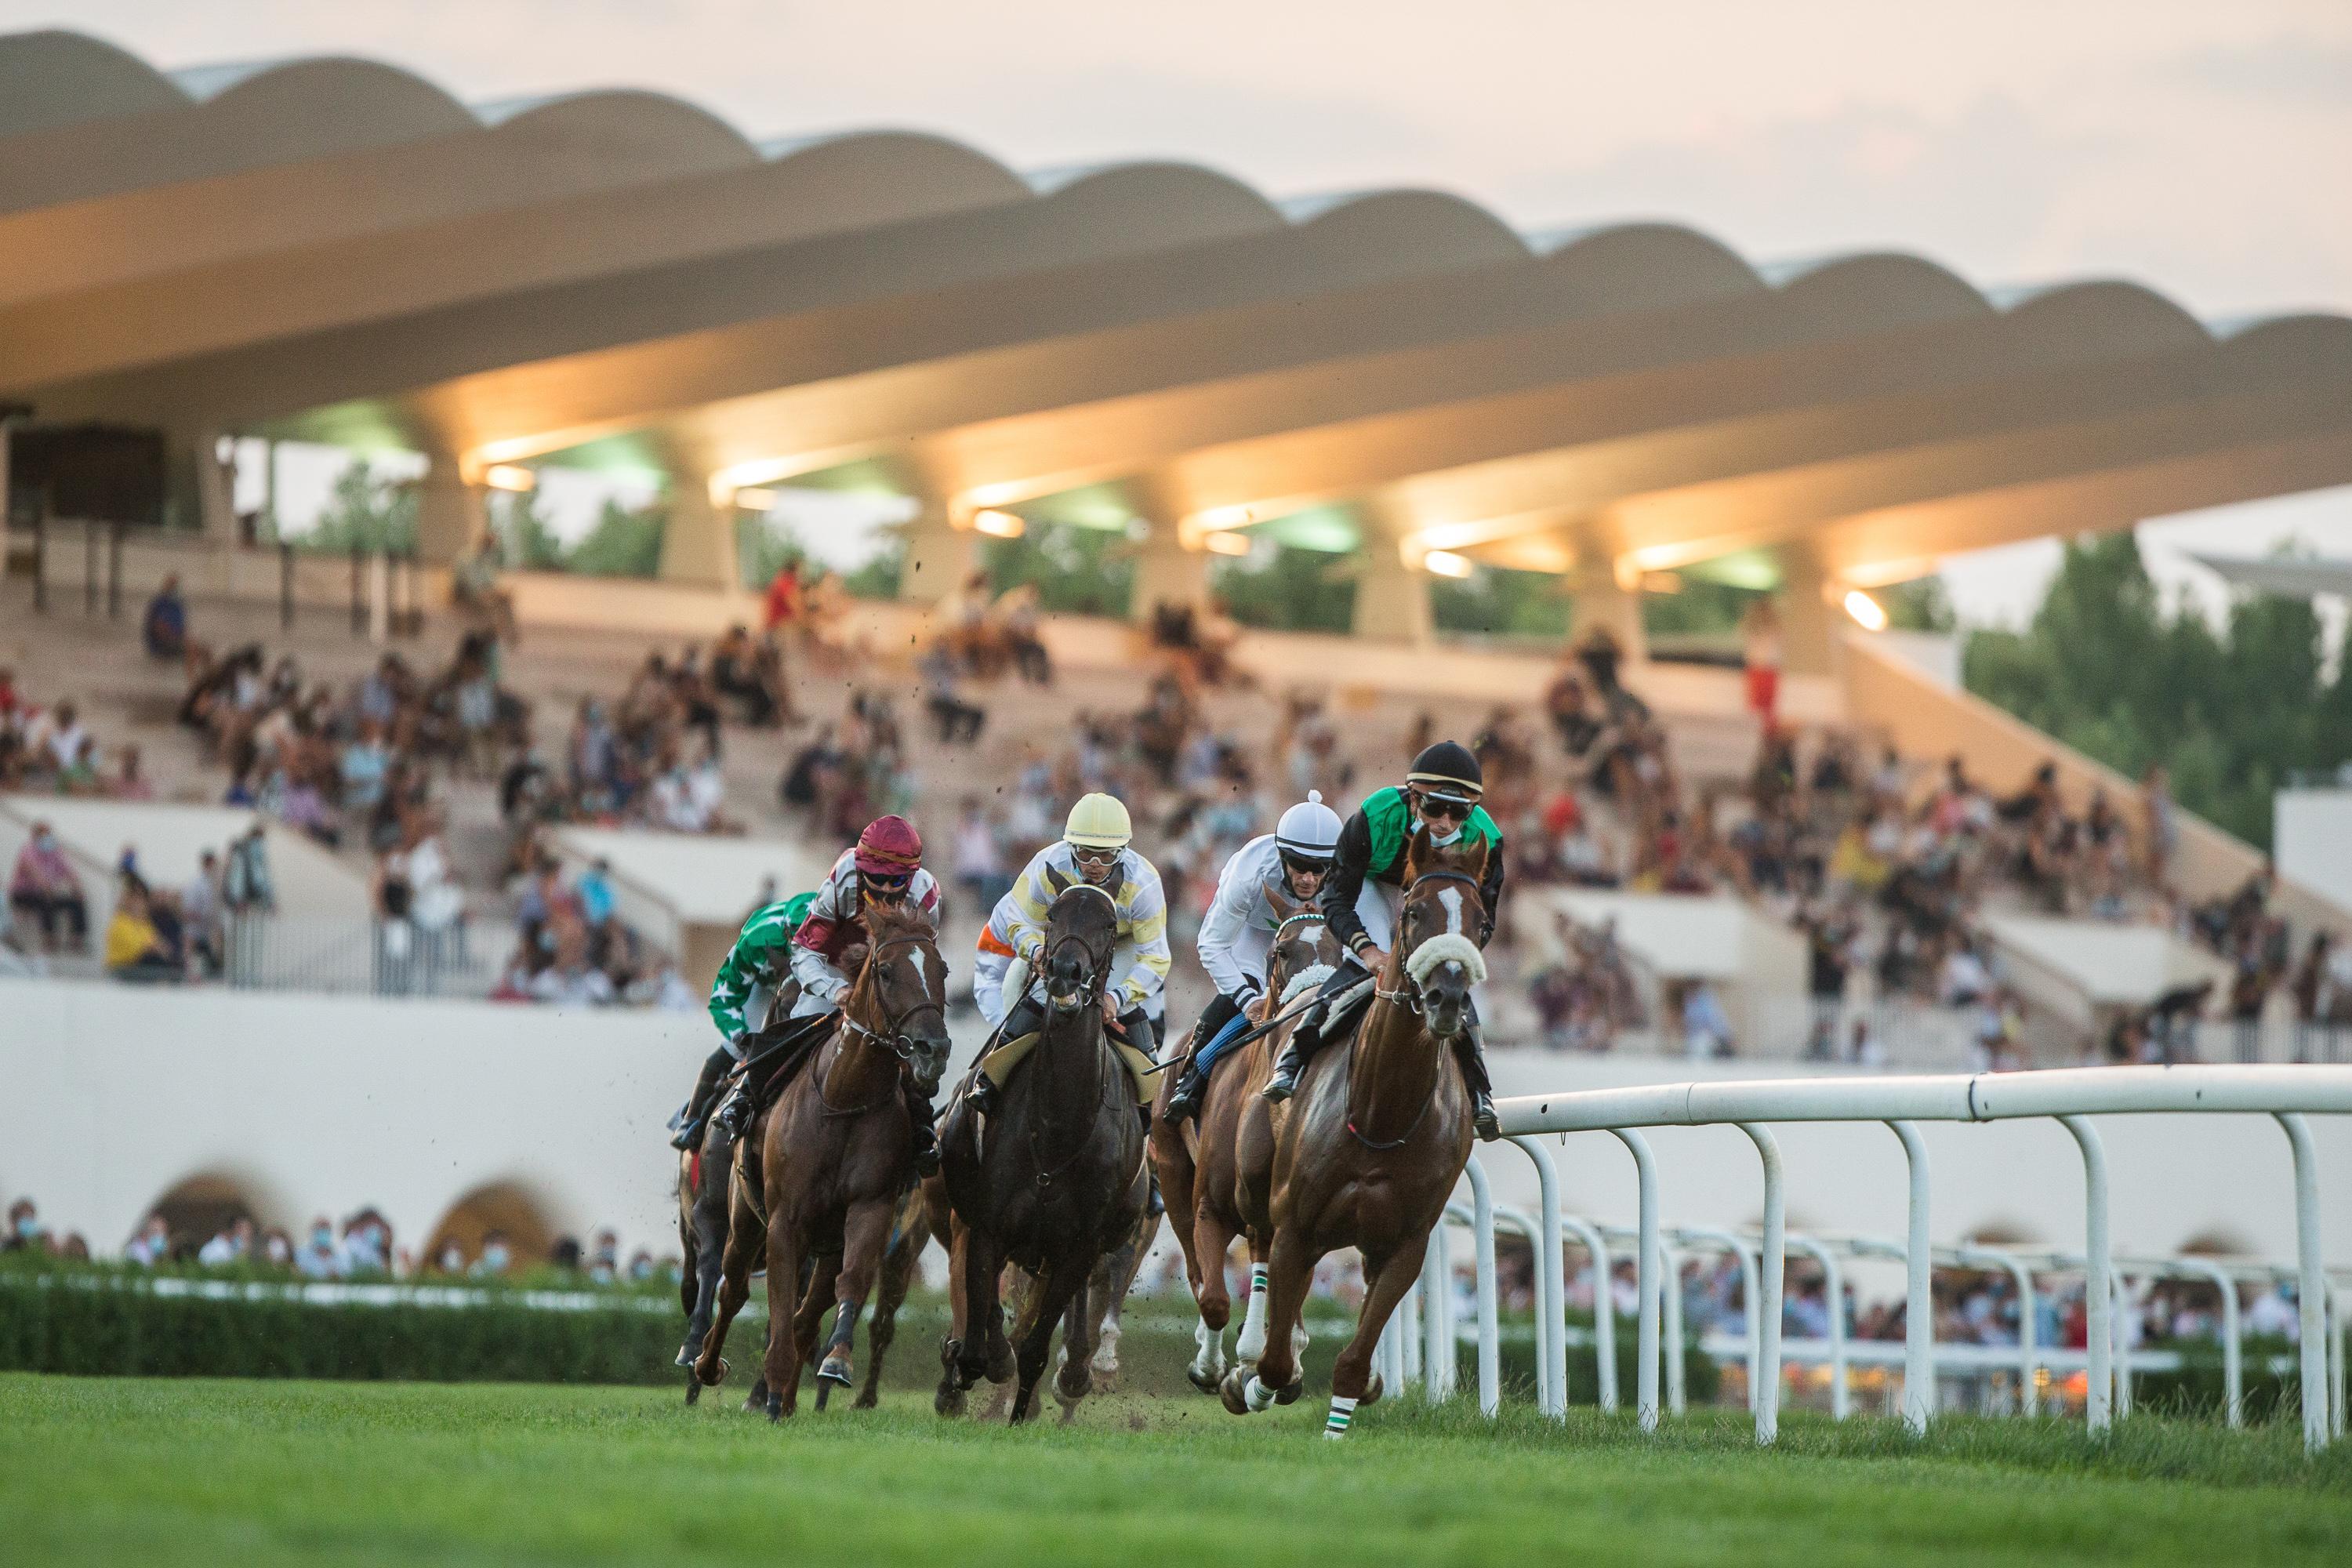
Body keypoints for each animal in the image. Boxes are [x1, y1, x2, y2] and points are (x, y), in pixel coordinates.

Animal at [687, 893, 950, 1420]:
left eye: (943, 969)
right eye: (885, 971)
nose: (934, 1048)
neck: (845, 1098)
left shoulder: (870, 1209)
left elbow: (847, 1285)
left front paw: (834, 1362)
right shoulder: (785, 1219)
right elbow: (775, 1300)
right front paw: (765, 1384)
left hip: (838, 1242)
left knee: (812, 1310)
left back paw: (788, 1395)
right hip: (742, 1217)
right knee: (732, 1287)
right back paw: (708, 1365)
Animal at [941, 879, 1152, 1429]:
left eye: (1109, 924)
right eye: (1053, 915)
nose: (1063, 971)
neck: (1057, 1130)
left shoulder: (1078, 1245)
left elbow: (1036, 1347)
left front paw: (1021, 1412)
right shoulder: (990, 1225)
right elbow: (985, 1328)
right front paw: (977, 1365)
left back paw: (1073, 1372)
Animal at [1143, 888, 1336, 1392]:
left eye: (1342, 951)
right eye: (1281, 951)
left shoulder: (1294, 1211)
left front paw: (1277, 1358)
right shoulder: (1208, 1206)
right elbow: (1212, 1297)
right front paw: (1210, 1368)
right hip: (1173, 1179)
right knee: (1196, 1271)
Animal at [1223, 827, 1477, 1439]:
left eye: (1482, 922)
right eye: (1414, 912)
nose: (1447, 997)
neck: (1382, 1113)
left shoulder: (1405, 1242)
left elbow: (1355, 1358)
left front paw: (1338, 1426)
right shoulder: (1296, 1222)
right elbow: (1274, 1358)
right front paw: (1258, 1378)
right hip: (1256, 1183)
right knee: (1259, 1244)